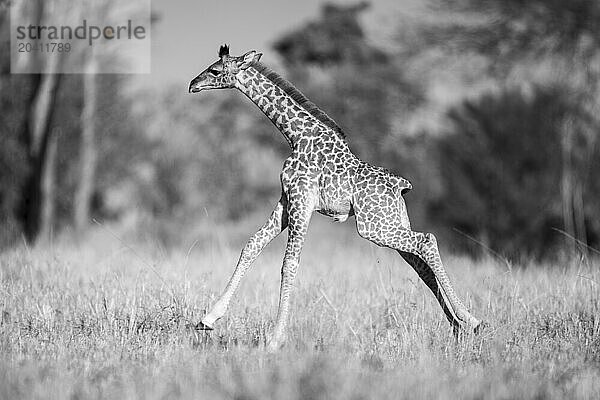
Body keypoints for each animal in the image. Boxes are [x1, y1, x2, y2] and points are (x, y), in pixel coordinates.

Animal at [188, 43, 482, 350]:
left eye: (215, 70)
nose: (192, 84)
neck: (296, 136)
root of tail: (400, 185)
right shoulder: (286, 200)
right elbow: (251, 245)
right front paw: (207, 319)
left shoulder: (302, 200)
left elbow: (289, 263)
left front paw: (275, 340)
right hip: (391, 220)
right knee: (421, 264)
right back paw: (457, 328)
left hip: (373, 226)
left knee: (427, 241)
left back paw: (471, 320)